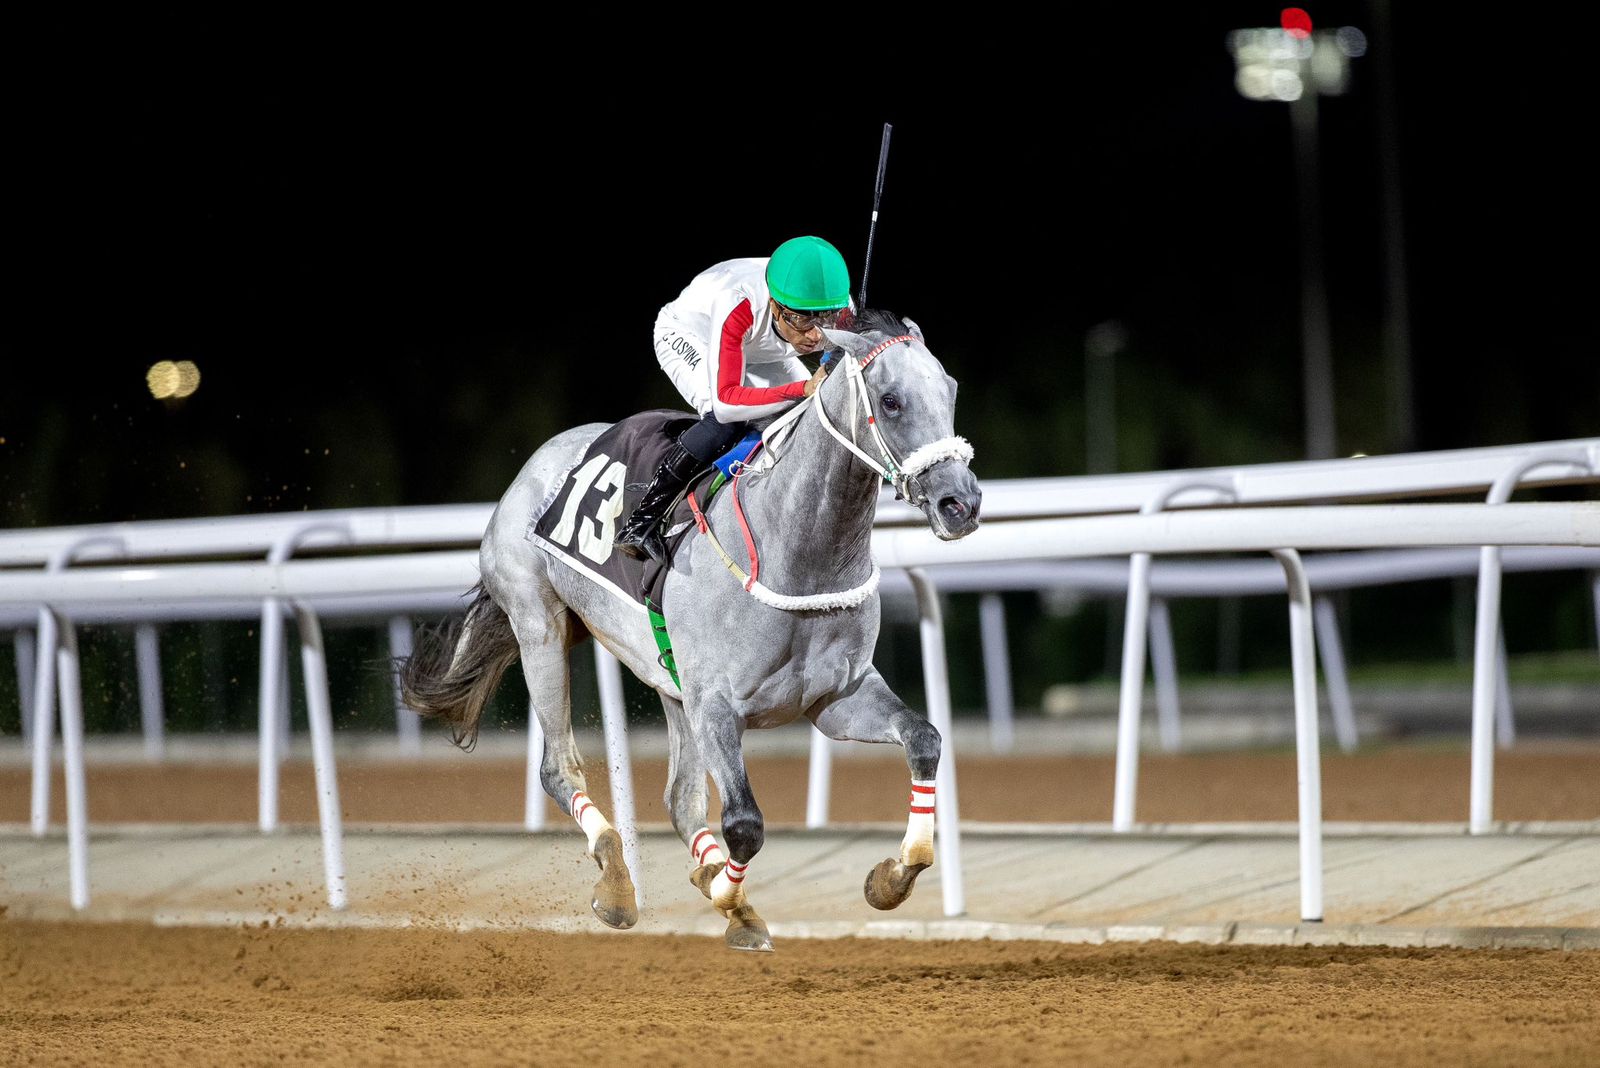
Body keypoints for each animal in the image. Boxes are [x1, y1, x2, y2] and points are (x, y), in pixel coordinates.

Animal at [399, 308, 982, 951]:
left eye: (950, 389)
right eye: (892, 401)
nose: (961, 504)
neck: (798, 548)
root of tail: (539, 461)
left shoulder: (836, 697)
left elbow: (924, 740)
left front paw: (892, 877)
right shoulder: (718, 705)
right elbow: (745, 823)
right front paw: (731, 901)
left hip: (666, 677)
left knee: (679, 798)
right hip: (540, 625)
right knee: (559, 766)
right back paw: (618, 884)